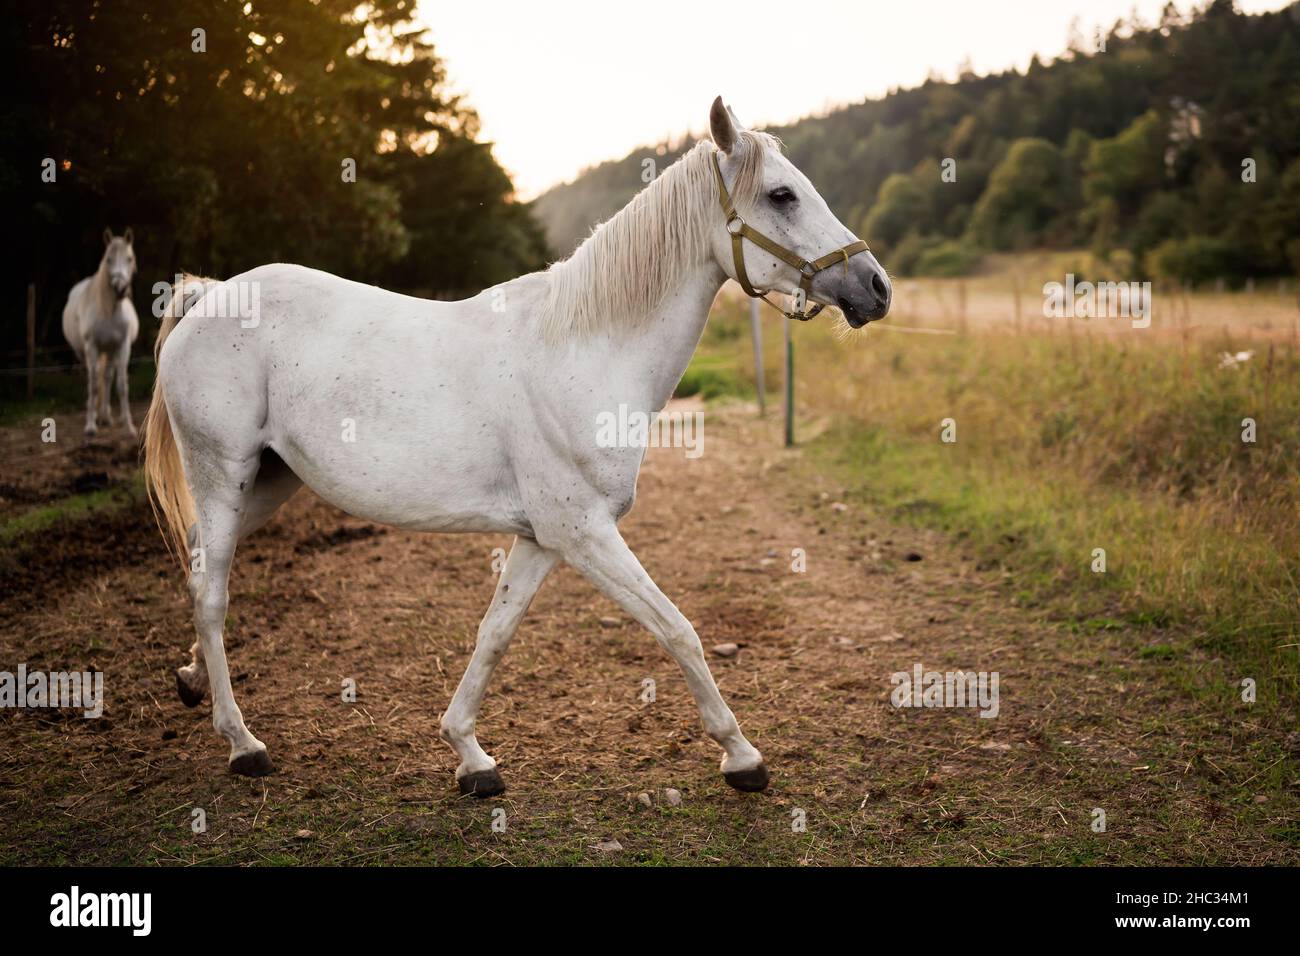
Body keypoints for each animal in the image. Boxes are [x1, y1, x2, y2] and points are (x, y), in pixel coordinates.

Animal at [63, 228, 141, 437]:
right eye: (108, 259)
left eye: (130, 258)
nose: (121, 289)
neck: (109, 310)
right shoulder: (92, 347)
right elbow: (94, 385)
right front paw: (90, 426)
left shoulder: (123, 346)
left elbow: (121, 385)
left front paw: (129, 426)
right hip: (87, 353)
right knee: (94, 379)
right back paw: (97, 415)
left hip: (111, 350)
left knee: (107, 377)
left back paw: (106, 416)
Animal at [143, 98, 892, 796]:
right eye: (782, 195)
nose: (876, 287)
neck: (583, 349)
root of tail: (209, 296)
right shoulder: (584, 533)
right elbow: (677, 628)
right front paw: (741, 756)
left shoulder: (541, 539)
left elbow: (494, 634)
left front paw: (470, 755)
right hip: (222, 475)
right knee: (212, 594)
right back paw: (243, 744)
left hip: (266, 483)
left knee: (201, 572)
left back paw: (191, 682)